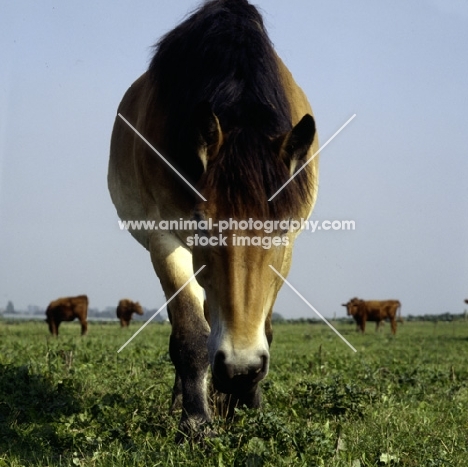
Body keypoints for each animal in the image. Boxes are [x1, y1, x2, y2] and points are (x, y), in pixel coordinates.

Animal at [107, 0, 318, 440]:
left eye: (281, 229)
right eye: (202, 224)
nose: (240, 368)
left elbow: (263, 326)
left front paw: (248, 406)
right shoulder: (166, 239)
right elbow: (190, 333)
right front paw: (196, 421)